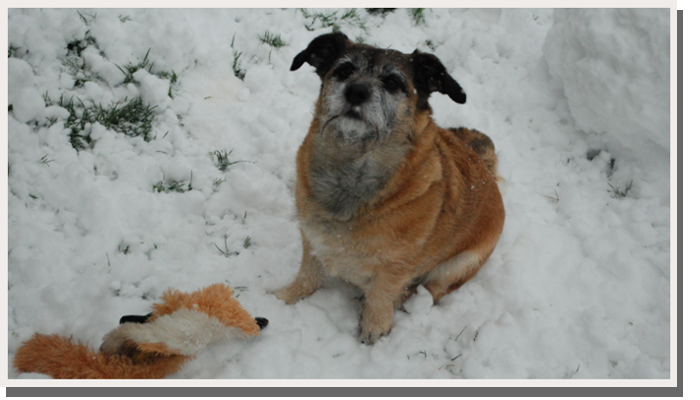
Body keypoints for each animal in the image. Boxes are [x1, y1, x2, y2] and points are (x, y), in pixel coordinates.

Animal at [274, 32, 504, 344]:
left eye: (393, 82)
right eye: (344, 70)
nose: (356, 92)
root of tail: (487, 171)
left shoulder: (396, 265)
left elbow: (382, 294)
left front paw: (374, 329)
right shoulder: (313, 239)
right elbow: (307, 275)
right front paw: (282, 299)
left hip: (460, 265)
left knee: (429, 291)